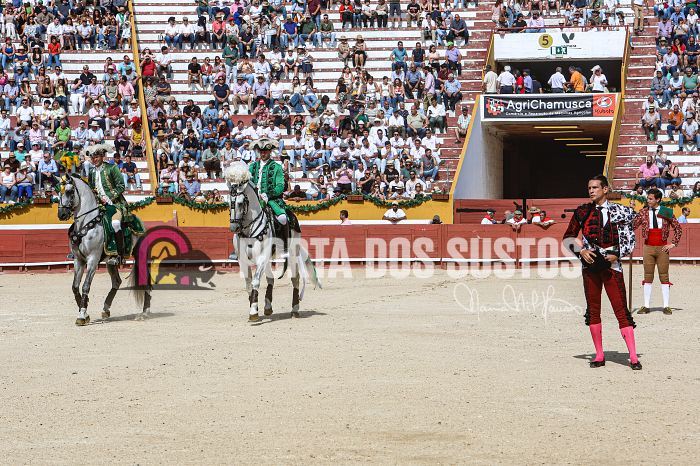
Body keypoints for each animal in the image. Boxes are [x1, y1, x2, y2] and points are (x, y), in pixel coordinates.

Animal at [57, 174, 151, 326]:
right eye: (58, 192)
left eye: (70, 191)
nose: (61, 214)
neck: (86, 224)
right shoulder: (78, 260)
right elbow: (75, 287)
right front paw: (85, 312)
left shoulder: (92, 259)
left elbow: (85, 286)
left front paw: (82, 315)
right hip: (110, 264)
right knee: (116, 282)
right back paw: (106, 309)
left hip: (141, 257)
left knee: (145, 281)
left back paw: (145, 312)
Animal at [224, 162, 321, 322]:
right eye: (227, 202)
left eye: (240, 203)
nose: (234, 227)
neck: (249, 229)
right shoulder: (242, 259)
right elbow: (248, 284)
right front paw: (254, 308)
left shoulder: (262, 256)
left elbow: (256, 281)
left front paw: (253, 312)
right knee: (271, 279)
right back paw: (268, 307)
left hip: (292, 254)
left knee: (295, 279)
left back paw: (295, 310)